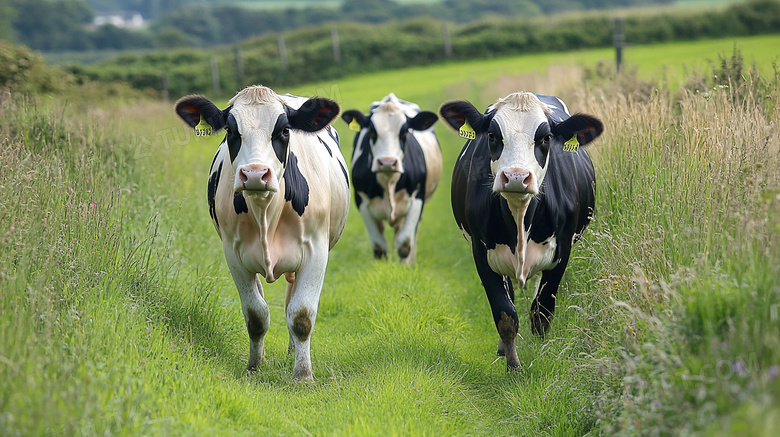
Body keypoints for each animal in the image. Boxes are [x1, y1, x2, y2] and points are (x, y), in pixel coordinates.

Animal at [177, 84, 350, 378]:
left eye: (285, 130)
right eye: (230, 131)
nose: (255, 174)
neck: (266, 211)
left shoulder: (317, 251)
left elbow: (301, 316)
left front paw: (303, 374)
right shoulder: (234, 255)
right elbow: (256, 315)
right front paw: (254, 367)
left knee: (291, 302)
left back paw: (293, 352)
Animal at [340, 94, 442, 264]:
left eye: (405, 132)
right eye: (372, 131)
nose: (387, 162)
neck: (388, 181)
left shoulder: (417, 198)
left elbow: (405, 244)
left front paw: (405, 267)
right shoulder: (361, 201)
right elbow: (379, 248)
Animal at [438, 91, 604, 368]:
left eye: (546, 138)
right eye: (492, 135)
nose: (516, 177)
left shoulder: (562, 252)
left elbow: (541, 311)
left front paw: (540, 354)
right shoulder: (481, 253)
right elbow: (505, 314)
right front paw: (513, 366)